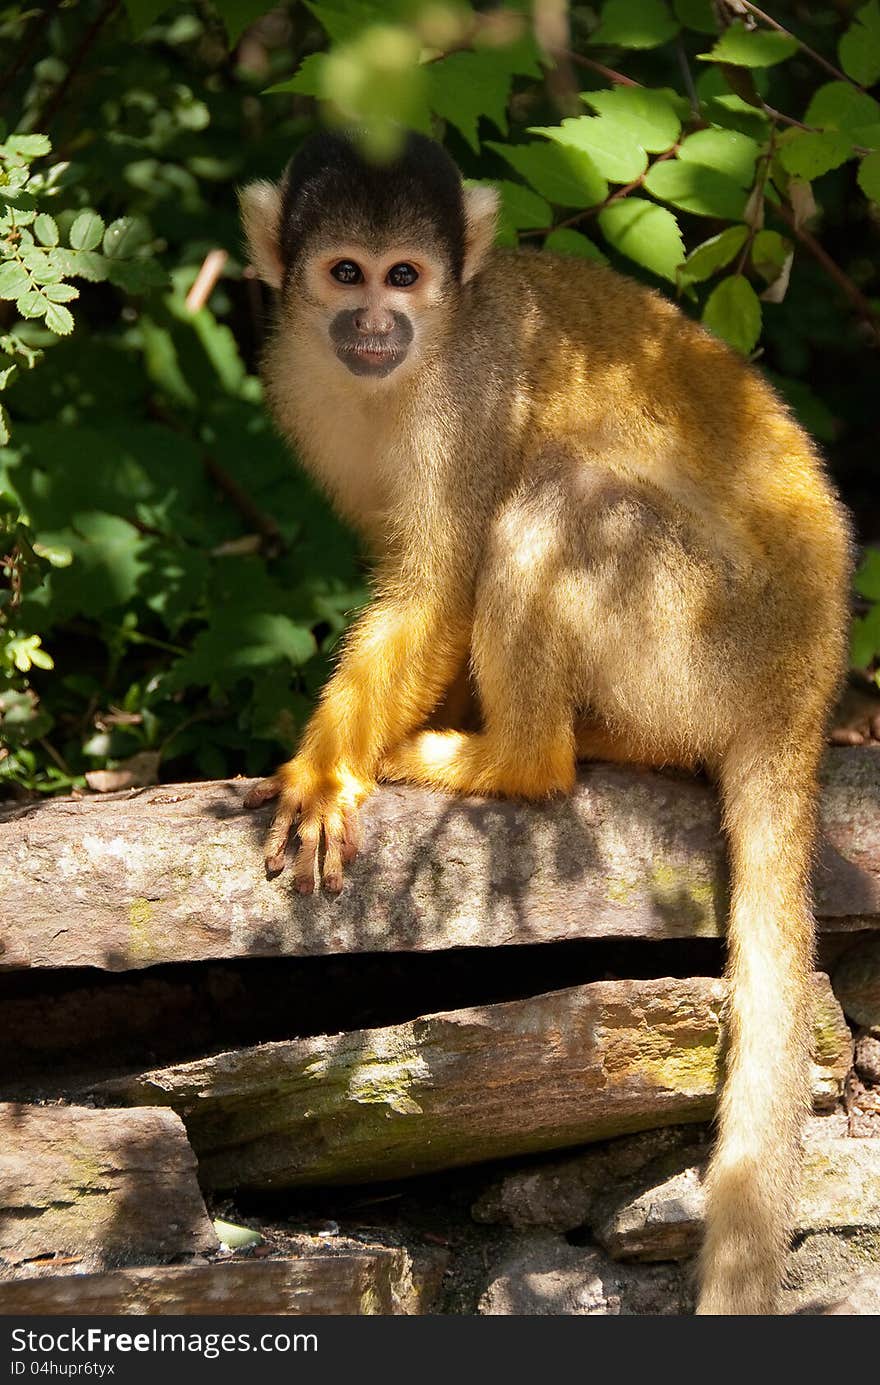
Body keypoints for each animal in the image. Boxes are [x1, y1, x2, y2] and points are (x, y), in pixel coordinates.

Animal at [239, 135, 853, 1312]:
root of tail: (808, 681)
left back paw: (516, 759)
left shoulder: (472, 389)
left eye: (406, 277)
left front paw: (329, 772)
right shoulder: (304, 377)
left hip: (707, 640)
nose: (374, 325)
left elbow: (440, 580)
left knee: (557, 489)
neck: (415, 363)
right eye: (344, 274)